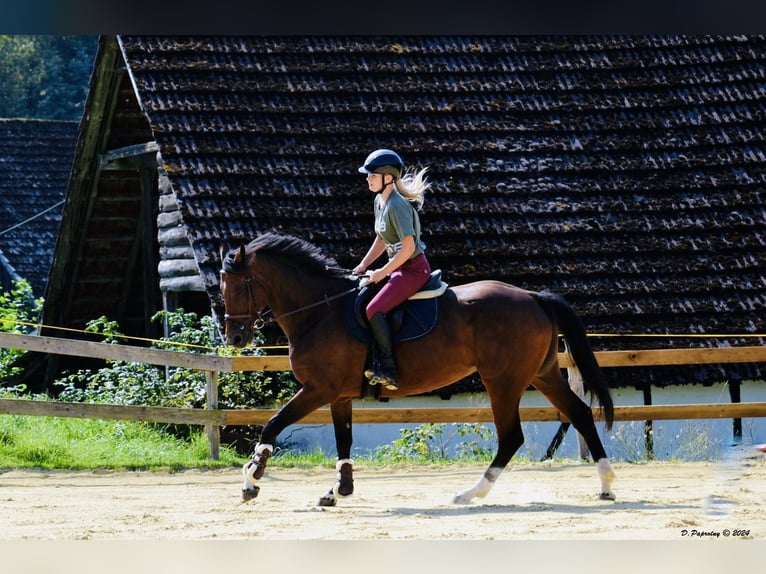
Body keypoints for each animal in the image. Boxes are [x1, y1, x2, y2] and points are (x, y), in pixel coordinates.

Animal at [220, 233, 616, 508]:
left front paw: (252, 479)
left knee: (511, 437)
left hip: (503, 381)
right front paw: (338, 490)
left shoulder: (318, 389)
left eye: (237, 286)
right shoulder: (338, 395)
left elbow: (273, 423)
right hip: (541, 374)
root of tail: (534, 297)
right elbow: (343, 440)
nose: (235, 337)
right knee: (580, 414)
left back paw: (470, 493)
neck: (320, 309)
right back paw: (606, 485)